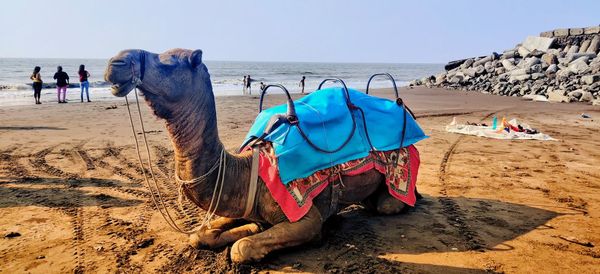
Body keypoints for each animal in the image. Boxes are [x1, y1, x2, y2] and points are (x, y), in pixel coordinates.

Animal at [104, 48, 412, 264]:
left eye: (168, 62)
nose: (116, 63)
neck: (246, 173)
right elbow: (200, 236)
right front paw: (242, 229)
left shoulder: (305, 216)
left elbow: (240, 249)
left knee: (389, 203)